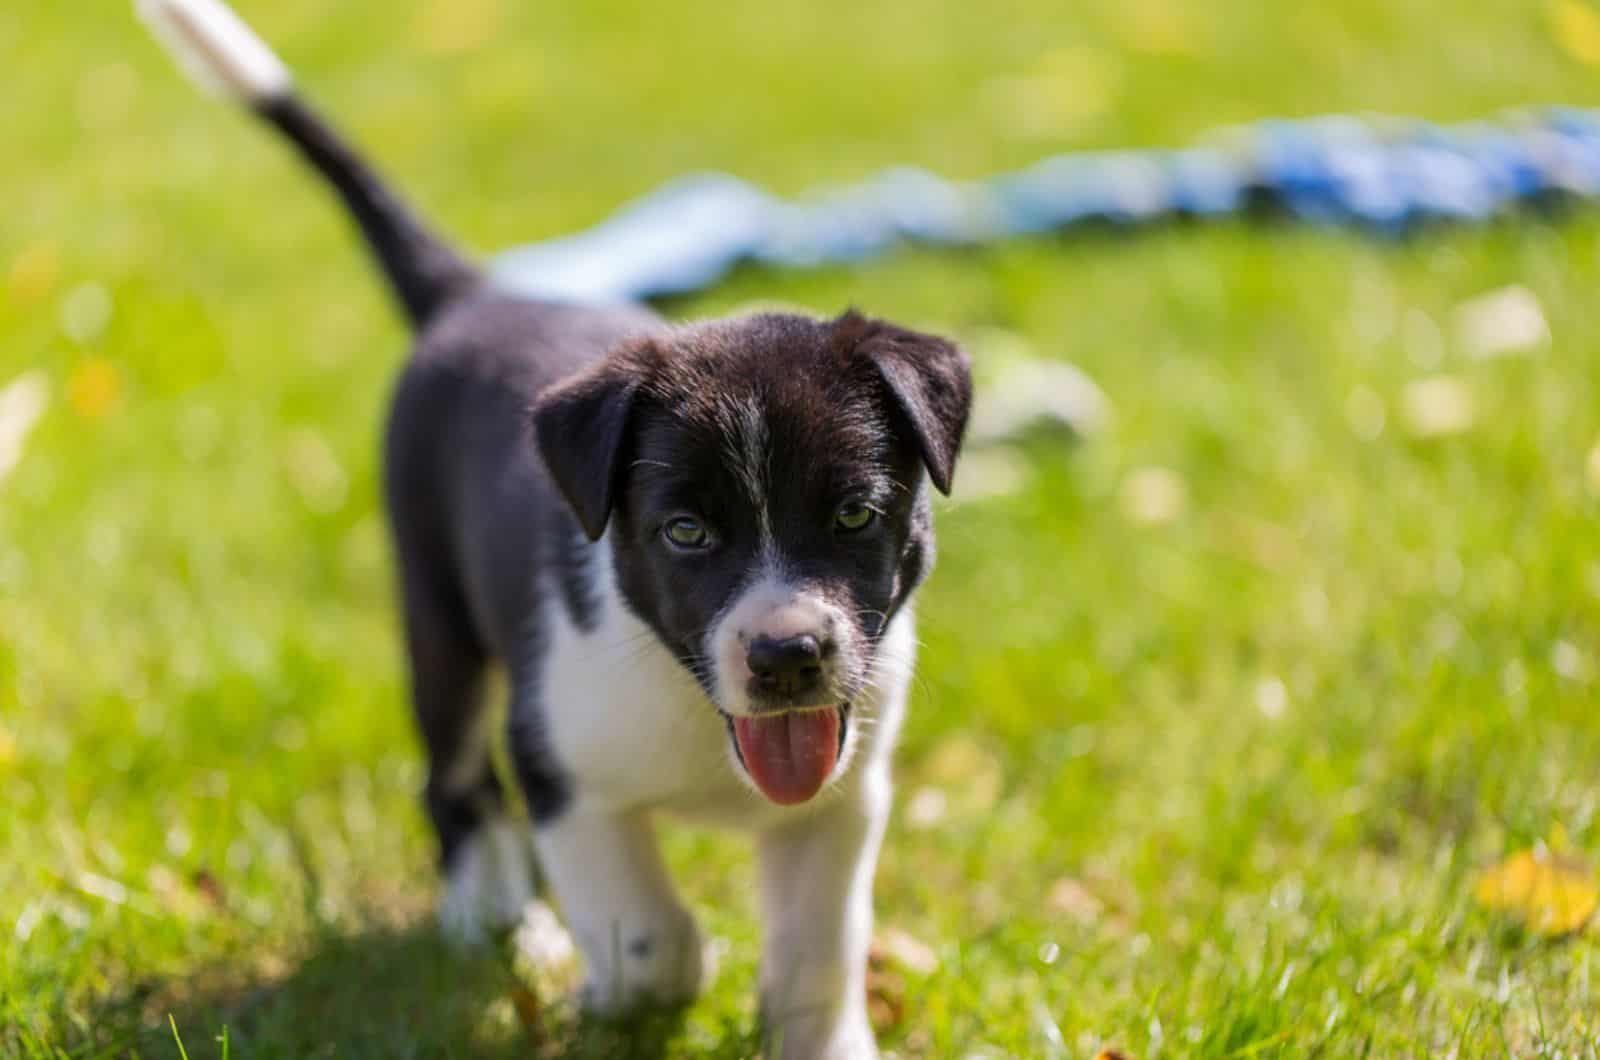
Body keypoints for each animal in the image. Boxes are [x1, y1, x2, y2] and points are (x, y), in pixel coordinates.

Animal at [140, 4, 972, 1056]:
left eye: (856, 515)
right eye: (685, 533)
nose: (787, 657)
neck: (691, 706)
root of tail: (476, 294)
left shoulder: (839, 801)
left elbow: (818, 952)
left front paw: (821, 1040)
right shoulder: (561, 770)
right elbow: (650, 935)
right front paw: (622, 984)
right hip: (438, 617)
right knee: (453, 782)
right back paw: (502, 921)